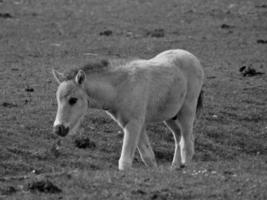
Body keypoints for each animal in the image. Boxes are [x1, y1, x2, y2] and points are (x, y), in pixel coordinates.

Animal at [52, 49, 205, 170]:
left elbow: (125, 162)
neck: (120, 88)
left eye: (73, 100)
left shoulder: (134, 123)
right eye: (58, 100)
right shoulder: (135, 124)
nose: (58, 128)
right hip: (170, 115)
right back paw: (175, 166)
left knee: (187, 143)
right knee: (179, 137)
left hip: (187, 111)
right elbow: (148, 156)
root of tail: (191, 57)